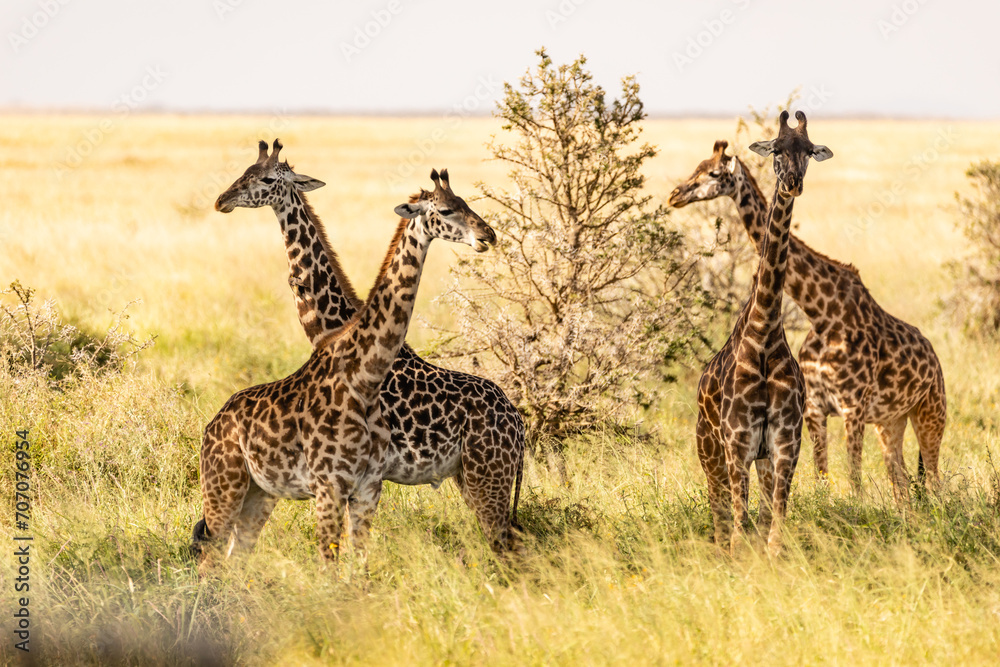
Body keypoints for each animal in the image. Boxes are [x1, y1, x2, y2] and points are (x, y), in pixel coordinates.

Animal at [212, 140, 526, 552]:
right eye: (243, 172)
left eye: (265, 179)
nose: (222, 200)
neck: (331, 322)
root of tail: (520, 424)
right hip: (471, 477)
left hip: (485, 476)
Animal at [669, 135, 946, 502]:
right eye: (697, 167)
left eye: (713, 173)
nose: (675, 195)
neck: (822, 313)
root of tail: (935, 359)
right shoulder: (816, 408)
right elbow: (822, 478)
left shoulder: (852, 408)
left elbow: (853, 481)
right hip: (891, 421)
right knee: (900, 480)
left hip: (931, 413)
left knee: (934, 479)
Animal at [694, 111, 832, 556]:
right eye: (775, 150)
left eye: (809, 151)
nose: (792, 183)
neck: (765, 331)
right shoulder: (737, 442)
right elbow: (740, 522)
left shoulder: (785, 442)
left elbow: (776, 520)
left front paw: (773, 558)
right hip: (710, 450)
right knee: (721, 512)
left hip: (760, 457)